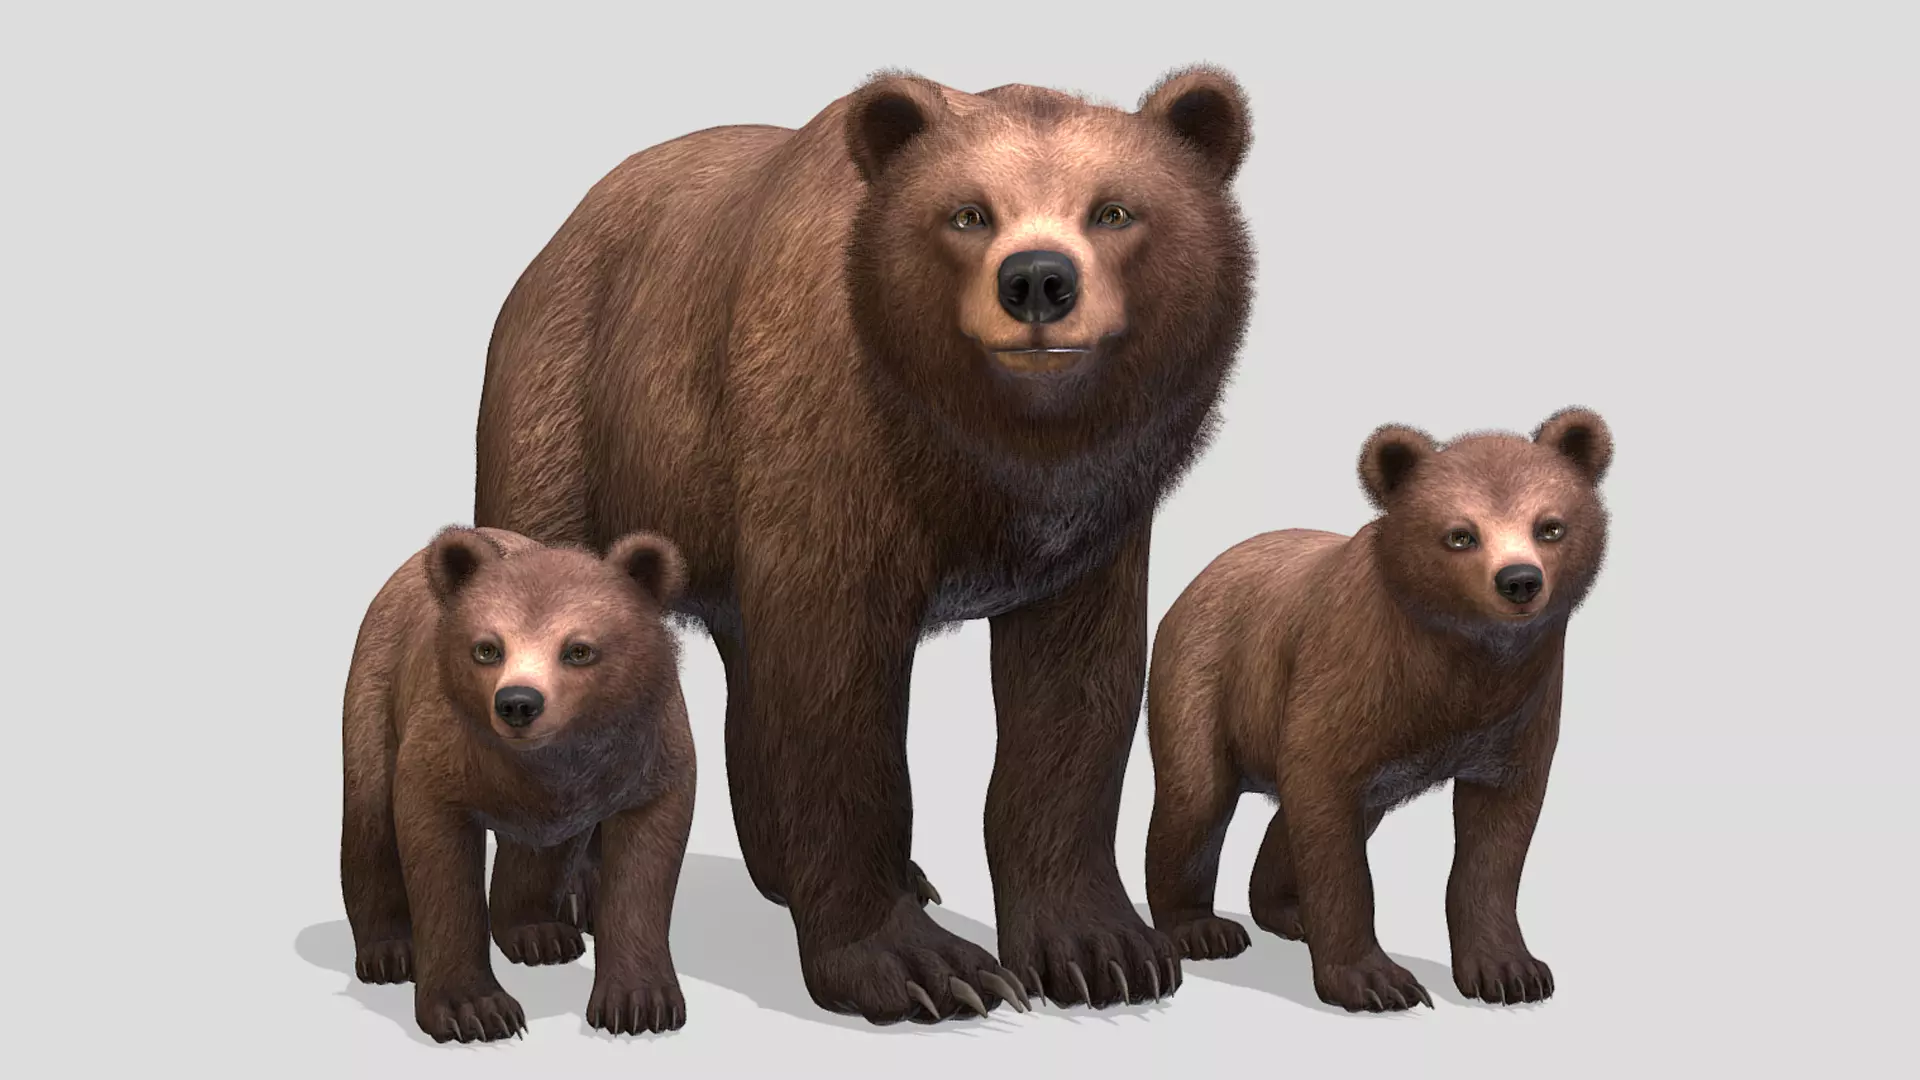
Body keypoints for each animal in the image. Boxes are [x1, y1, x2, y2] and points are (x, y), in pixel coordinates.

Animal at [339, 525, 697, 1042]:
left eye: (579, 649)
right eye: (487, 648)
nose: (518, 703)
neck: (550, 758)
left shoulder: (645, 750)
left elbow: (646, 862)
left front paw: (640, 1002)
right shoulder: (446, 749)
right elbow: (438, 861)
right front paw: (475, 1009)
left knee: (542, 851)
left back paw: (538, 933)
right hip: (376, 690)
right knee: (369, 818)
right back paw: (388, 951)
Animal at [470, 65, 1255, 1023]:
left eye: (1114, 210)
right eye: (967, 213)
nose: (1038, 280)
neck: (986, 455)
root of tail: (559, 236)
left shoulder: (1089, 530)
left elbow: (1073, 699)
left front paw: (1102, 950)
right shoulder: (832, 454)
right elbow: (836, 696)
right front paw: (923, 966)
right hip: (573, 419)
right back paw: (559, 907)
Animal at [1142, 407, 1613, 1012]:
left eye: (1550, 526)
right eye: (1460, 534)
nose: (1519, 580)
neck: (1461, 661)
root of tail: (1201, 575)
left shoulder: (1516, 712)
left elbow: (1498, 837)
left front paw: (1510, 970)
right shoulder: (1354, 673)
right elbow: (1328, 817)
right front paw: (1375, 980)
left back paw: (1287, 910)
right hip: (1205, 675)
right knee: (1194, 800)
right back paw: (1201, 928)